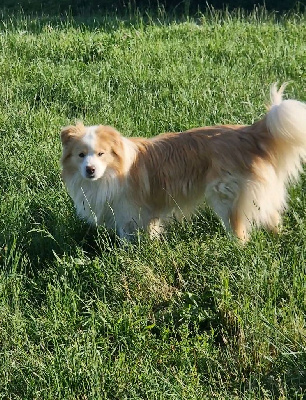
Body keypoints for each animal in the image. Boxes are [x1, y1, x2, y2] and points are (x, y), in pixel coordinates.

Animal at [59, 84, 306, 241]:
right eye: (81, 155)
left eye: (101, 154)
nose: (90, 170)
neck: (111, 173)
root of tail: (248, 133)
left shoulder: (131, 212)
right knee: (272, 215)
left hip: (225, 196)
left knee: (240, 230)